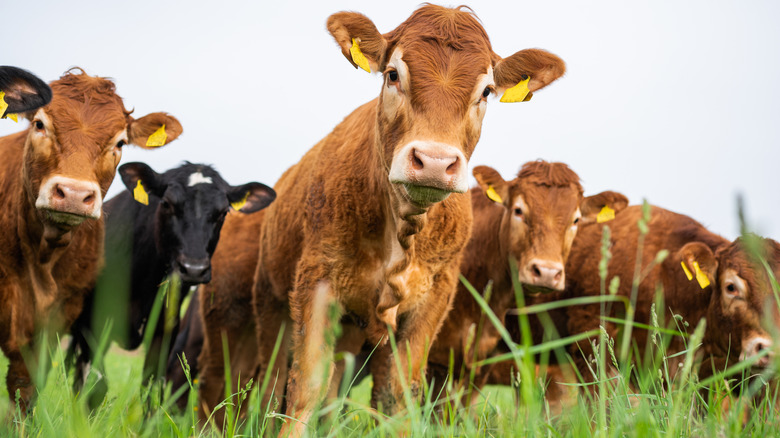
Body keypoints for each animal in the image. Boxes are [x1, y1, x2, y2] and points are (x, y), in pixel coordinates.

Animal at [68, 161, 275, 407]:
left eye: (223, 212)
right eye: (167, 203)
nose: (194, 268)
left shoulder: (164, 331)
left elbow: (152, 389)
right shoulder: (92, 324)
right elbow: (96, 387)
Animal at [196, 4, 566, 434]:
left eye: (486, 91)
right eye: (393, 74)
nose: (435, 162)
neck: (400, 232)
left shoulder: (432, 301)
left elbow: (397, 396)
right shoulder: (316, 283)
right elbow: (305, 387)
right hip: (263, 308)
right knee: (259, 384)